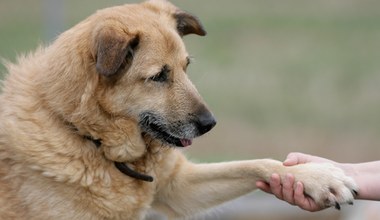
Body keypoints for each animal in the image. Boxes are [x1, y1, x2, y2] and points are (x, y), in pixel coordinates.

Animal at [0, 0, 356, 219]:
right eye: (159, 75)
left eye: (186, 67)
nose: (210, 124)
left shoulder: (178, 187)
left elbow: (256, 163)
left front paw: (315, 176)